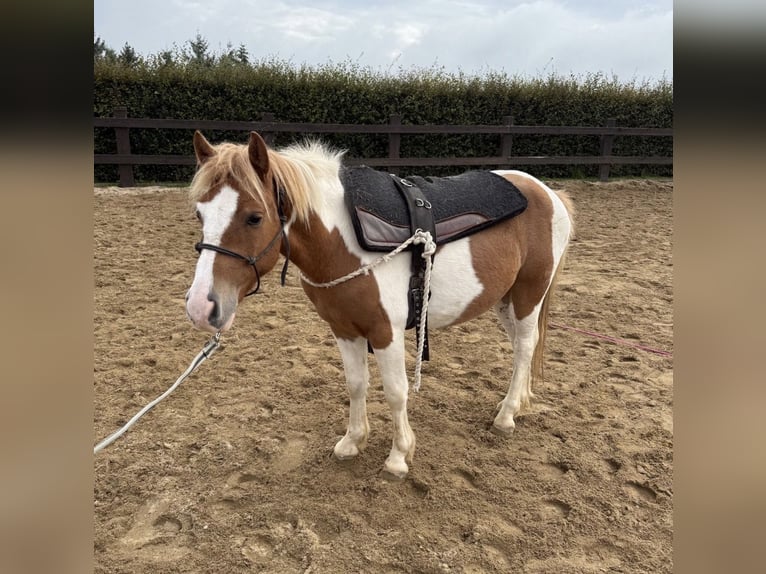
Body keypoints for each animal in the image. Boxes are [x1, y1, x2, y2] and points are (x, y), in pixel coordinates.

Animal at [185, 130, 574, 480]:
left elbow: (396, 392)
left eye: (254, 217)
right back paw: (516, 402)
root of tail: (549, 193)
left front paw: (399, 457)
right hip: (505, 300)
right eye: (200, 215)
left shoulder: (386, 332)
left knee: (524, 346)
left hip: (528, 295)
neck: (342, 242)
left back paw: (506, 415)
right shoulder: (344, 329)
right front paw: (352, 441)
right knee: (523, 346)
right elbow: (356, 384)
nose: (201, 307)